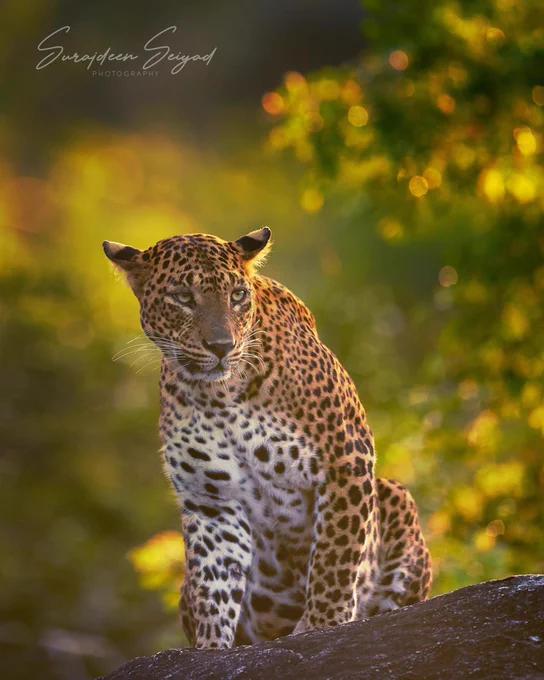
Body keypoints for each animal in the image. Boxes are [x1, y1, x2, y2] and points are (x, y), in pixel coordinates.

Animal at [103, 227, 431, 649]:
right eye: (183, 297)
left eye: (237, 295)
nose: (221, 346)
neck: (220, 395)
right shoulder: (211, 500)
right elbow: (214, 586)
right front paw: (211, 649)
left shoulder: (345, 458)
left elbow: (334, 558)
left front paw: (321, 625)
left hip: (394, 495)